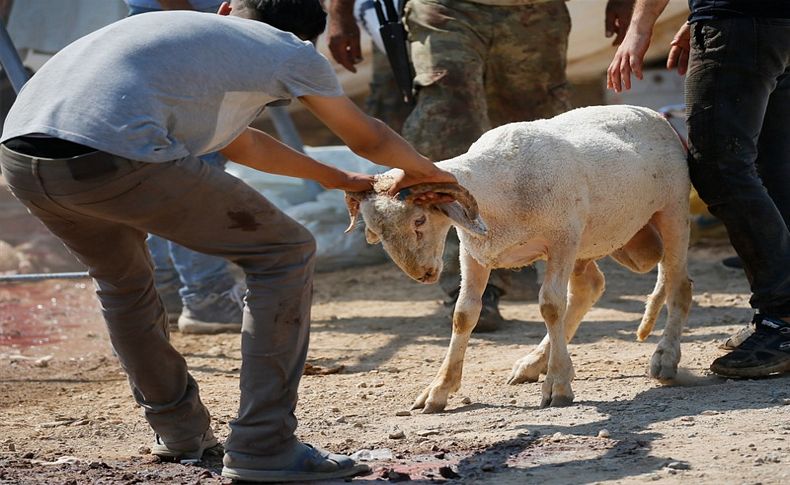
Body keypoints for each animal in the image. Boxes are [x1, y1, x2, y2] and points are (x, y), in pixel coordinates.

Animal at [346, 106, 692, 412]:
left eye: (419, 220)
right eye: (377, 232)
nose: (422, 274)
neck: (500, 182)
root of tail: (655, 115)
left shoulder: (562, 241)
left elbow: (551, 306)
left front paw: (558, 386)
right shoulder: (475, 251)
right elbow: (464, 314)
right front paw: (438, 390)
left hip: (672, 212)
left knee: (679, 286)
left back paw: (665, 357)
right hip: (588, 241)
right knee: (590, 287)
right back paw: (534, 362)